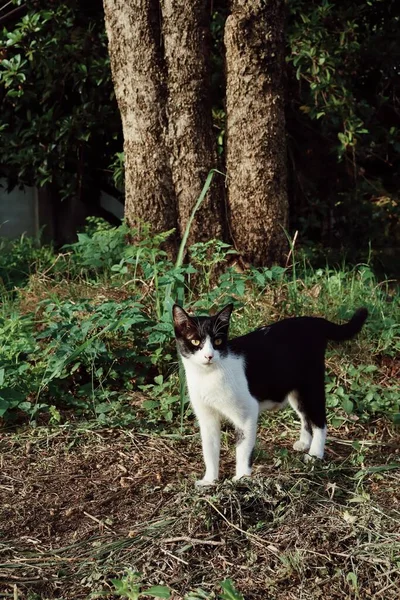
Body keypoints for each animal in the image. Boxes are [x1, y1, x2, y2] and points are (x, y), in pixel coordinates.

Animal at [172, 304, 368, 488]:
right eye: (195, 341)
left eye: (218, 341)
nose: (209, 356)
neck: (208, 376)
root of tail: (313, 320)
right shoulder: (207, 418)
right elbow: (209, 449)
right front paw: (209, 480)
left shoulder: (247, 412)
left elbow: (243, 449)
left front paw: (241, 478)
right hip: (295, 391)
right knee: (305, 416)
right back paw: (304, 443)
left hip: (311, 385)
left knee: (319, 421)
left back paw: (315, 454)